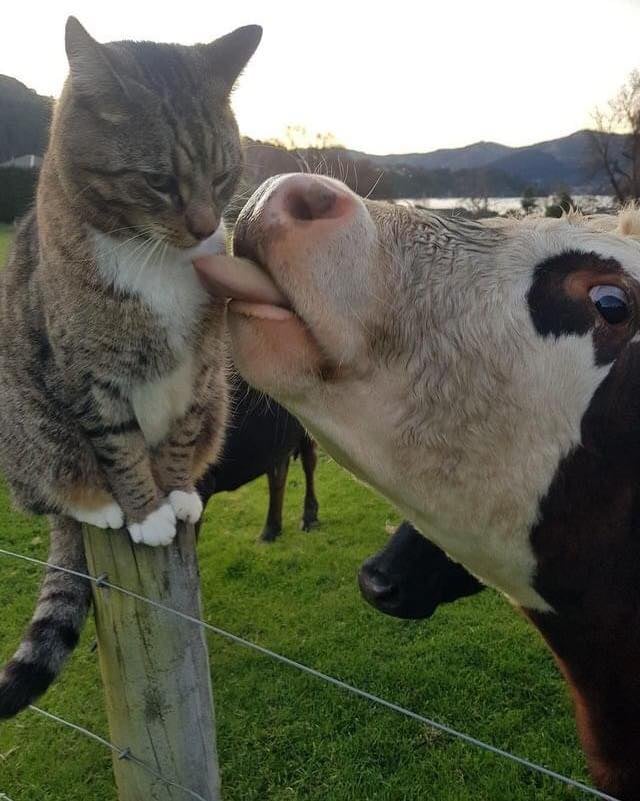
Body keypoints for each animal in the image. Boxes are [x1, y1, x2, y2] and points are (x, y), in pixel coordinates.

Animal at [0, 17, 262, 720]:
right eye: (158, 181)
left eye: (223, 175)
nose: (204, 225)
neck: (154, 257)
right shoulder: (87, 376)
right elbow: (118, 446)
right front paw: (146, 513)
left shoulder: (201, 370)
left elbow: (177, 434)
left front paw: (175, 493)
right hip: (23, 422)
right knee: (50, 490)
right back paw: (96, 507)